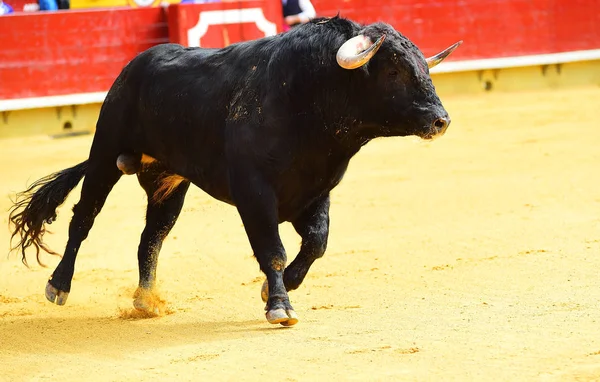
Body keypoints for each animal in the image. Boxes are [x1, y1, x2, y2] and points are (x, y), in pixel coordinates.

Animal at [8, 14, 460, 326]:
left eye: (424, 65)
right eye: (394, 70)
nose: (441, 121)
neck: (309, 96)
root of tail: (134, 66)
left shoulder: (314, 193)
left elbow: (316, 243)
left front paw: (274, 290)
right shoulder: (254, 194)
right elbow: (272, 251)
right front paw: (279, 306)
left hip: (169, 183)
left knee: (150, 238)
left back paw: (145, 301)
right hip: (105, 154)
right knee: (82, 219)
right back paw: (58, 286)